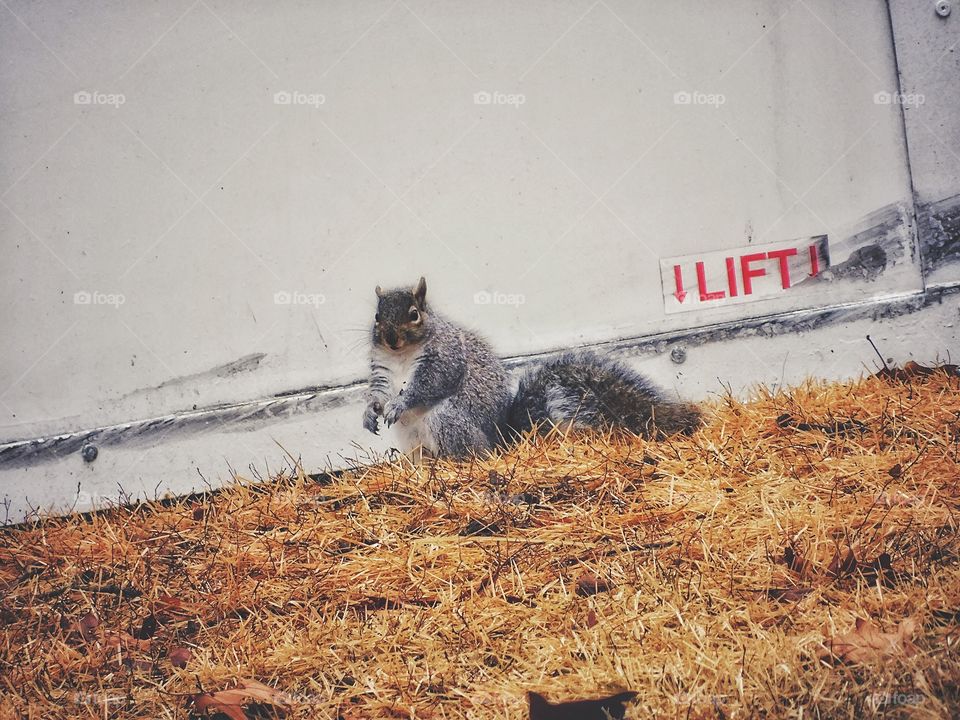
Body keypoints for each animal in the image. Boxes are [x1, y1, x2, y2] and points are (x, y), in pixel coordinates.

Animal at [363, 277, 701, 459]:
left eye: (414, 314)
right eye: (377, 317)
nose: (391, 338)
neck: (401, 356)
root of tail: (501, 441)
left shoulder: (446, 357)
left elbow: (430, 384)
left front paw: (400, 403)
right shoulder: (381, 369)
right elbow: (377, 392)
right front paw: (370, 413)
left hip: (447, 421)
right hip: (411, 441)